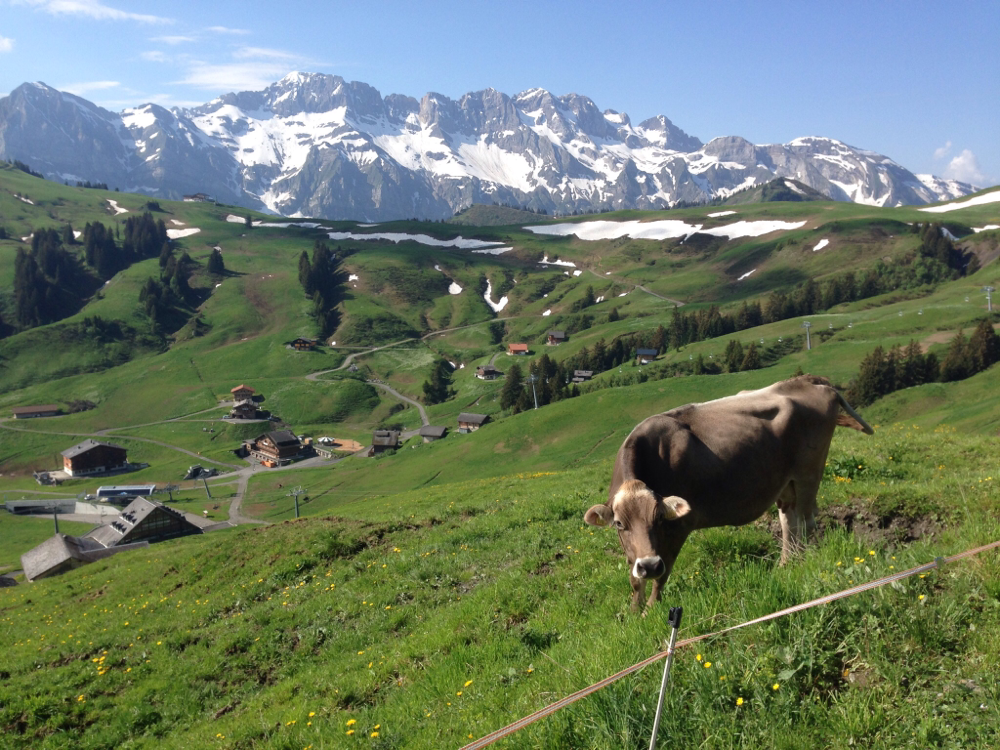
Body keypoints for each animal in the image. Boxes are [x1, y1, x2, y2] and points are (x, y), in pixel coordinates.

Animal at [584, 376, 872, 612]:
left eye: (660, 519)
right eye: (619, 523)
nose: (650, 565)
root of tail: (804, 381)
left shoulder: (680, 526)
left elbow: (663, 574)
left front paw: (651, 610)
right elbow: (635, 578)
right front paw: (634, 612)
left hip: (809, 473)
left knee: (807, 520)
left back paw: (804, 562)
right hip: (785, 482)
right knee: (789, 521)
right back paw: (786, 565)